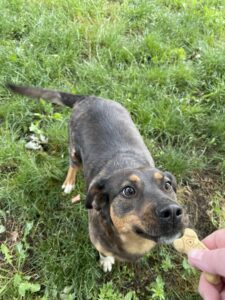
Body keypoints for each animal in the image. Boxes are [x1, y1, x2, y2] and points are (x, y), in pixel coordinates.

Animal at [7, 84, 187, 272]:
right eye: (128, 191)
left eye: (167, 185)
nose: (173, 212)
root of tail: (89, 97)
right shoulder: (97, 239)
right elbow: (104, 252)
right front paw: (106, 261)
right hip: (74, 149)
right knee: (73, 165)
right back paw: (69, 183)